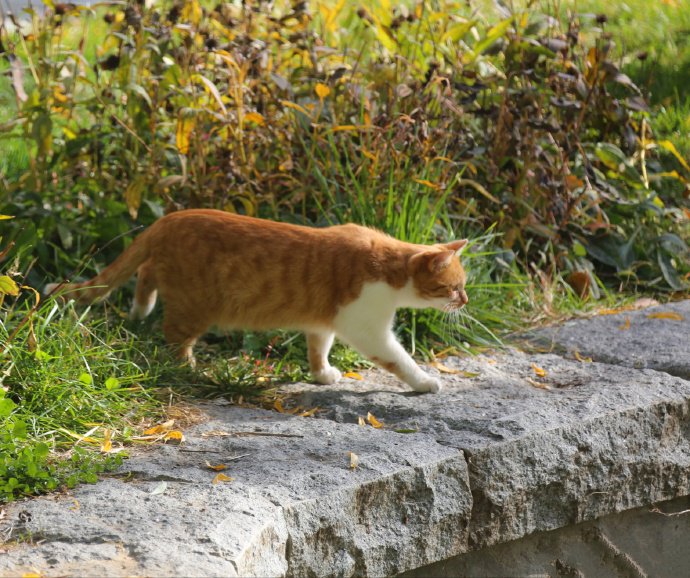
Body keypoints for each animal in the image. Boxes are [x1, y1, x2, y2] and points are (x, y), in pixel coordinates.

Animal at [44, 207, 468, 392]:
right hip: (194, 307)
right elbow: (400, 360)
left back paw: (138, 309)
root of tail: (172, 216)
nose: (464, 301)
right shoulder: (368, 330)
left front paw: (322, 373)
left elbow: (319, 347)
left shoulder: (323, 322)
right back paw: (187, 365)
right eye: (453, 287)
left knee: (145, 273)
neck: (389, 267)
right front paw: (424, 381)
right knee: (174, 335)